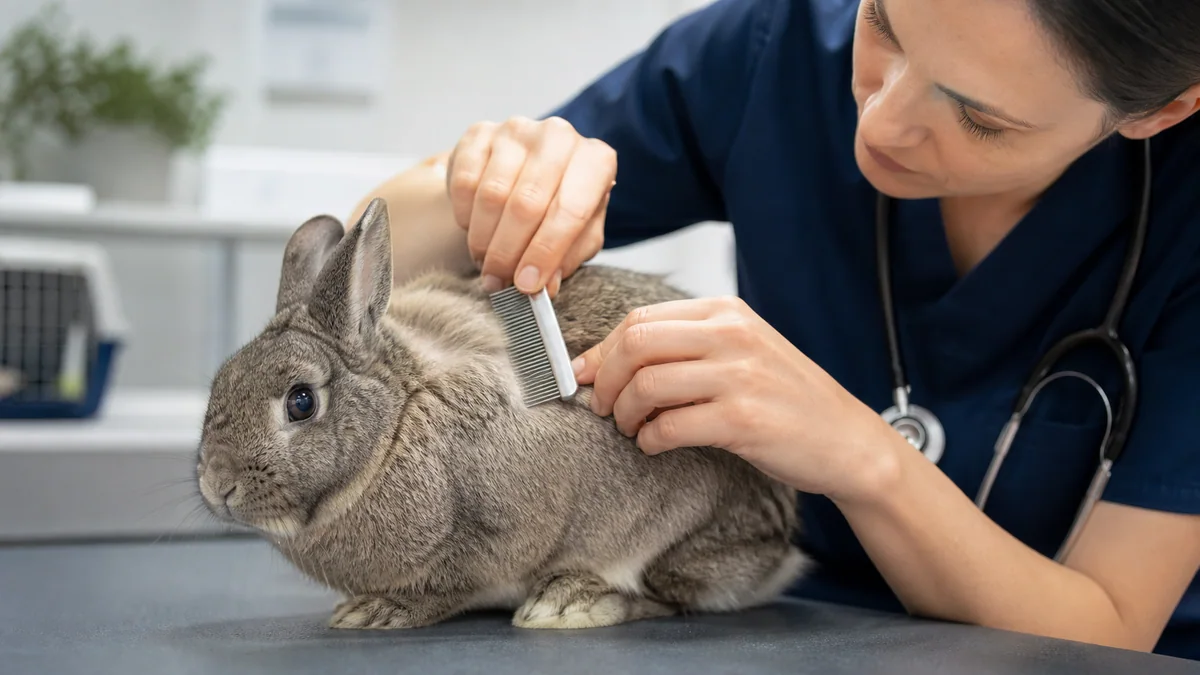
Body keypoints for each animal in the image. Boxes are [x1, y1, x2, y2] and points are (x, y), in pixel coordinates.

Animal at [196, 197, 811, 631]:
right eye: (219, 382)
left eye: (301, 401)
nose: (217, 484)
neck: (396, 422)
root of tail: (779, 550)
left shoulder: (502, 532)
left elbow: (447, 589)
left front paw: (375, 612)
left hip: (681, 539)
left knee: (666, 595)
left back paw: (572, 603)